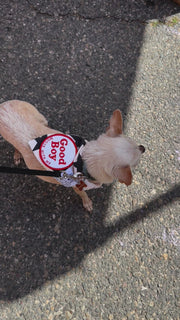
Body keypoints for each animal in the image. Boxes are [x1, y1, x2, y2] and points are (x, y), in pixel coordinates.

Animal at [0, 100, 145, 210]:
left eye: (136, 143)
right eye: (136, 162)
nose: (143, 148)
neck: (81, 160)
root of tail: (3, 106)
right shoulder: (77, 187)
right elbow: (83, 195)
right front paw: (87, 203)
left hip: (40, 117)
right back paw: (17, 155)